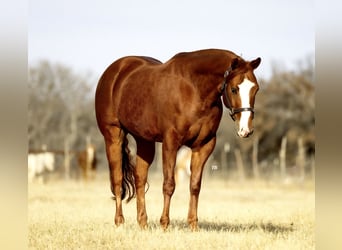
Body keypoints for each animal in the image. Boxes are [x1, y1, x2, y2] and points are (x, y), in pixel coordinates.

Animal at [95, 48, 260, 230]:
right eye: (234, 89)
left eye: (256, 89)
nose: (246, 130)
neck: (194, 89)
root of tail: (114, 71)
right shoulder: (170, 143)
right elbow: (169, 184)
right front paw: (164, 224)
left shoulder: (204, 145)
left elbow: (195, 185)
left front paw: (193, 225)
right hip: (113, 136)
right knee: (117, 179)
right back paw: (119, 221)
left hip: (144, 140)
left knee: (139, 178)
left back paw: (143, 222)